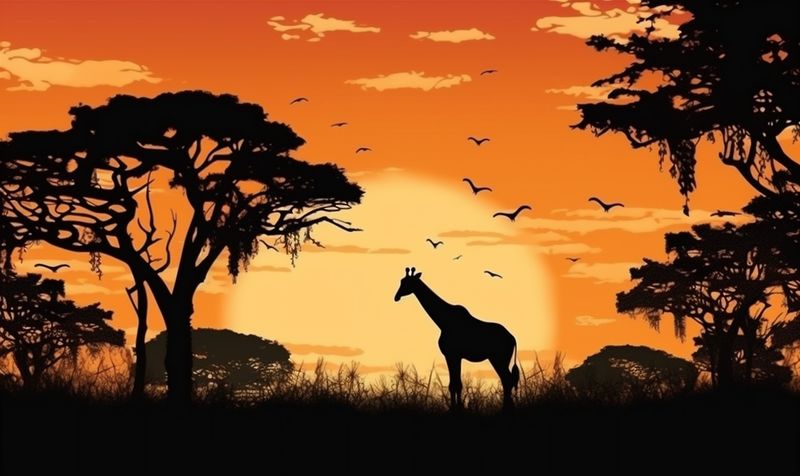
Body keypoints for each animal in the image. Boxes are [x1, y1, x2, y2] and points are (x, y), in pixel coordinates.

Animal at [393, 267, 520, 410]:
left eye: (407, 283)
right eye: (401, 281)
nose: (396, 297)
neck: (443, 322)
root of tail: (512, 338)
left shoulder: (452, 354)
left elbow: (455, 385)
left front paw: (456, 409)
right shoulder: (454, 356)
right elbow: (454, 384)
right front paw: (456, 407)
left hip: (499, 358)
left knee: (507, 379)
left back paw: (506, 409)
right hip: (500, 359)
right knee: (508, 380)